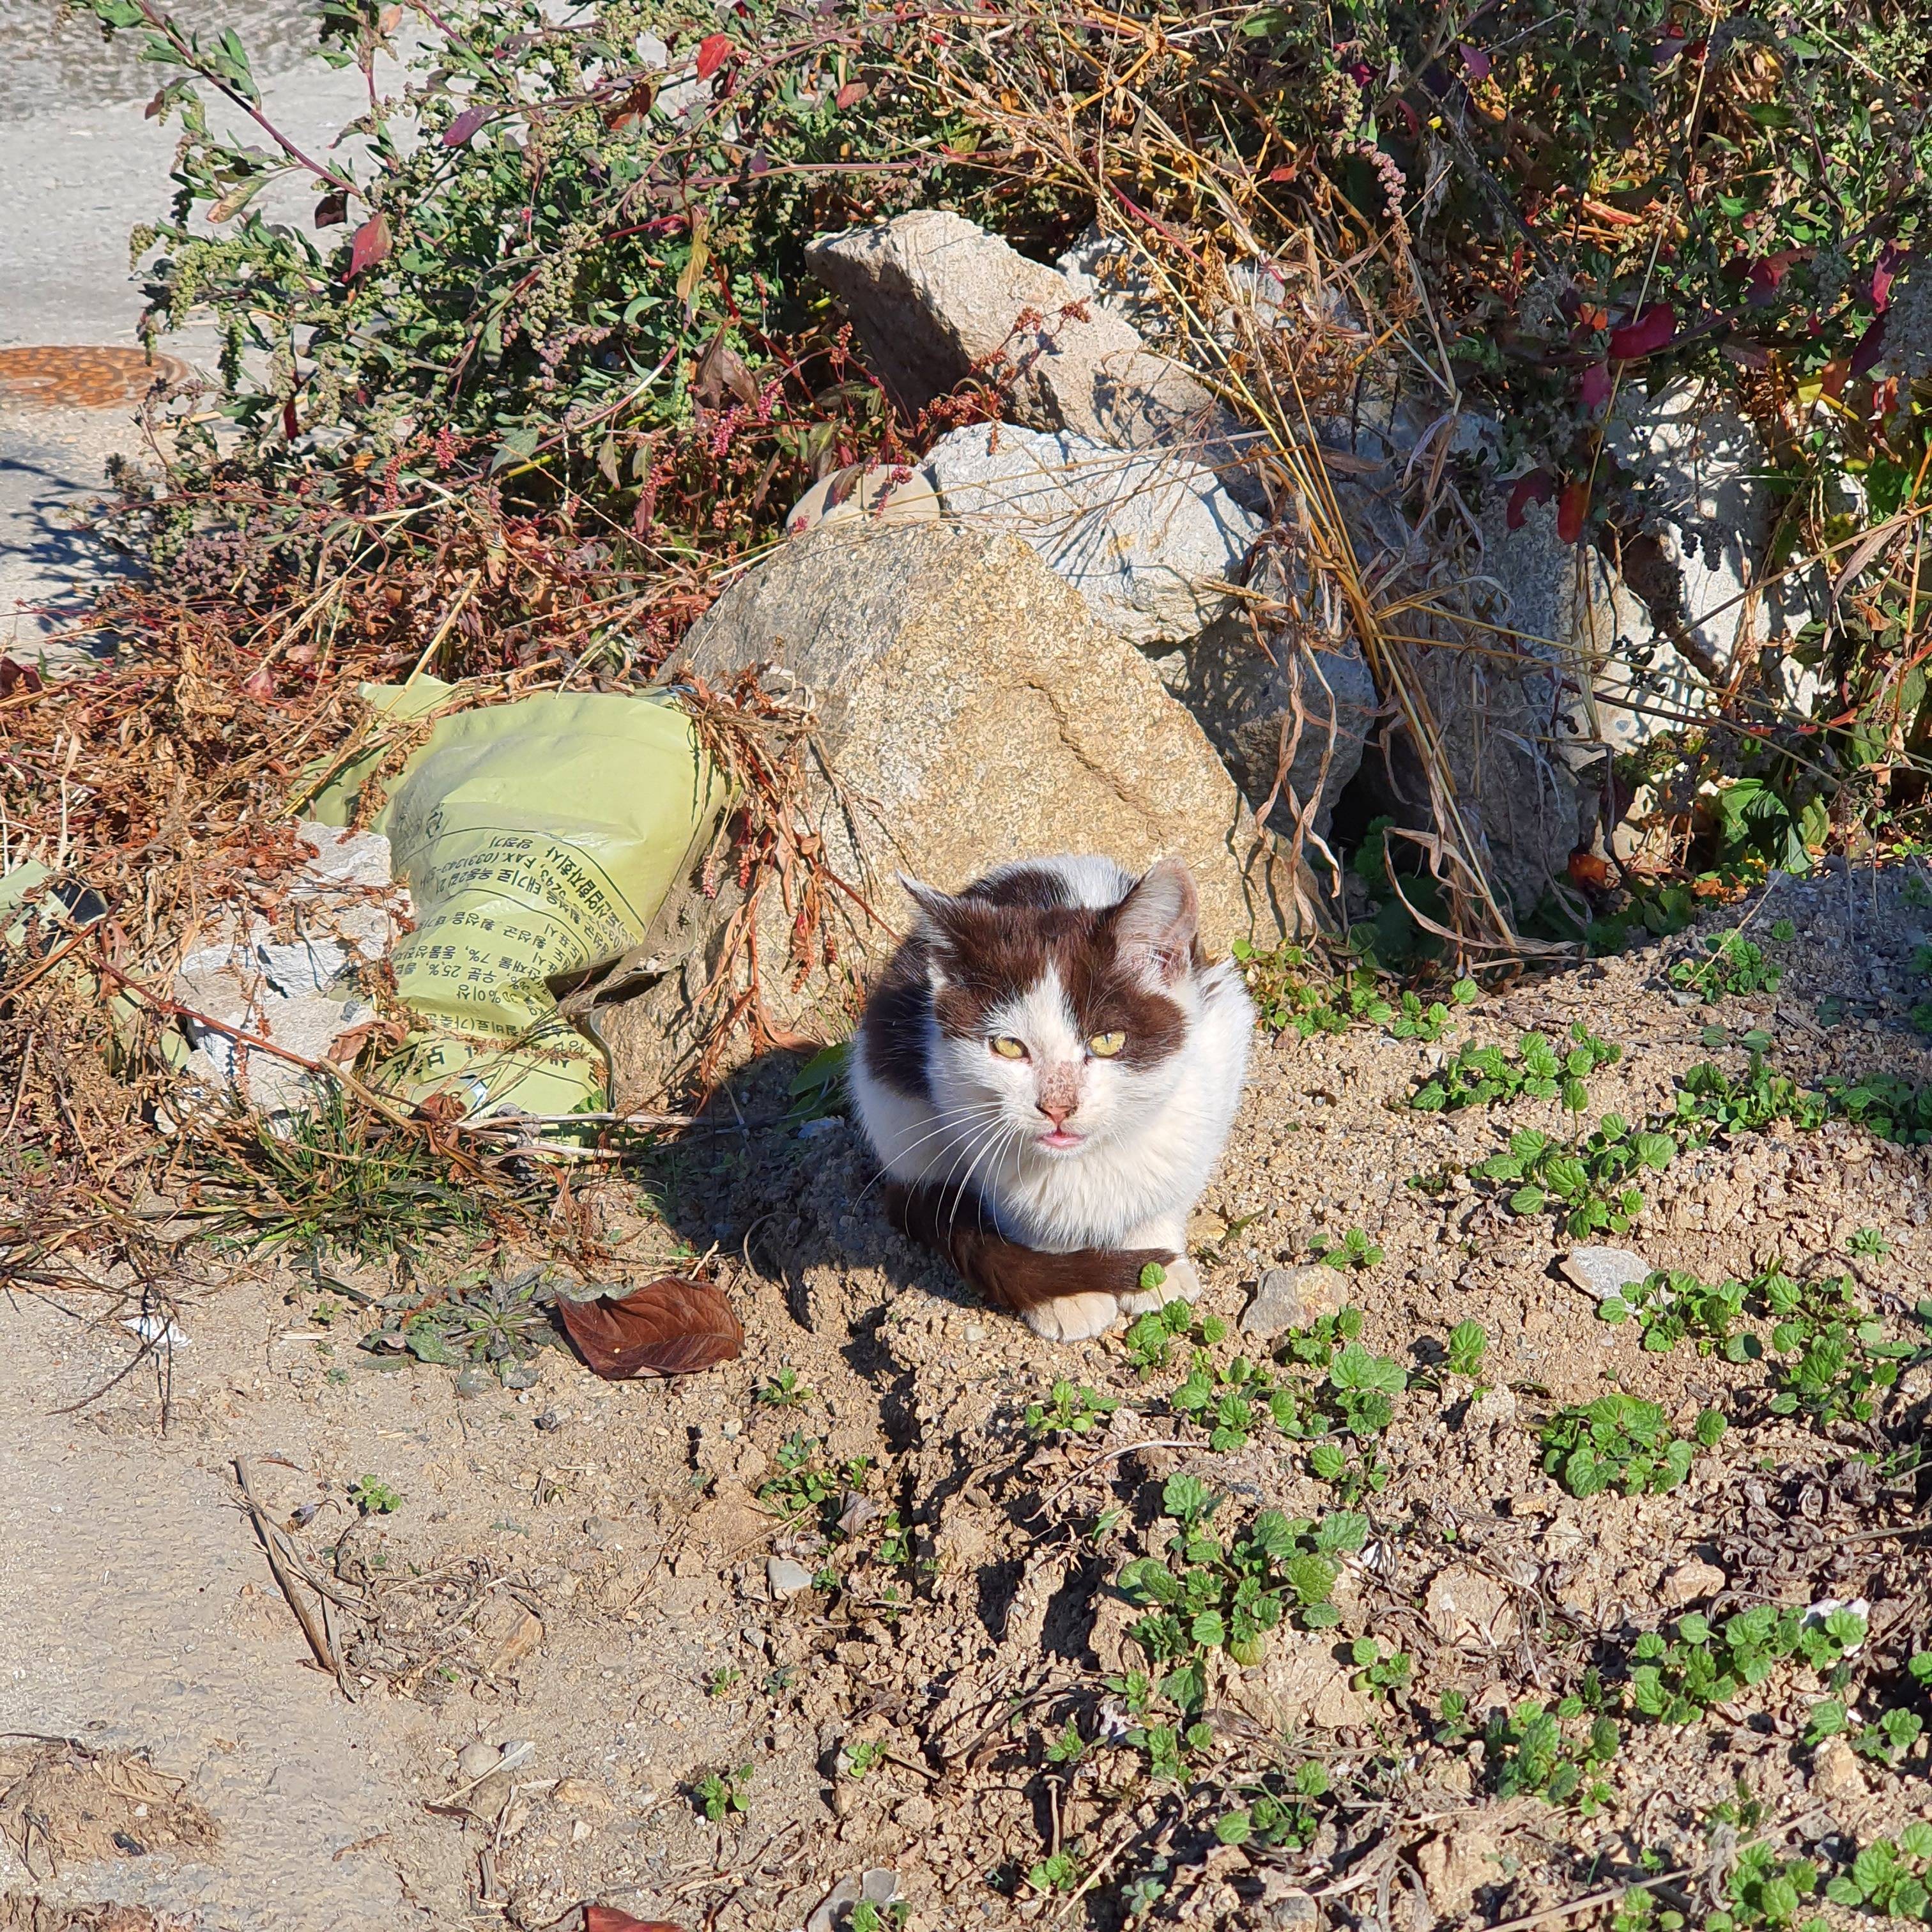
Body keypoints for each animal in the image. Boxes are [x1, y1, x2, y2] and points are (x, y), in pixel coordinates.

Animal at [850, 861, 1252, 1344]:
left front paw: (1155, 1270)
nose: (1058, 1106)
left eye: (1108, 1040)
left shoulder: (1216, 1054)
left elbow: (1170, 1187)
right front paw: (1068, 1294)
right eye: (1008, 1046)